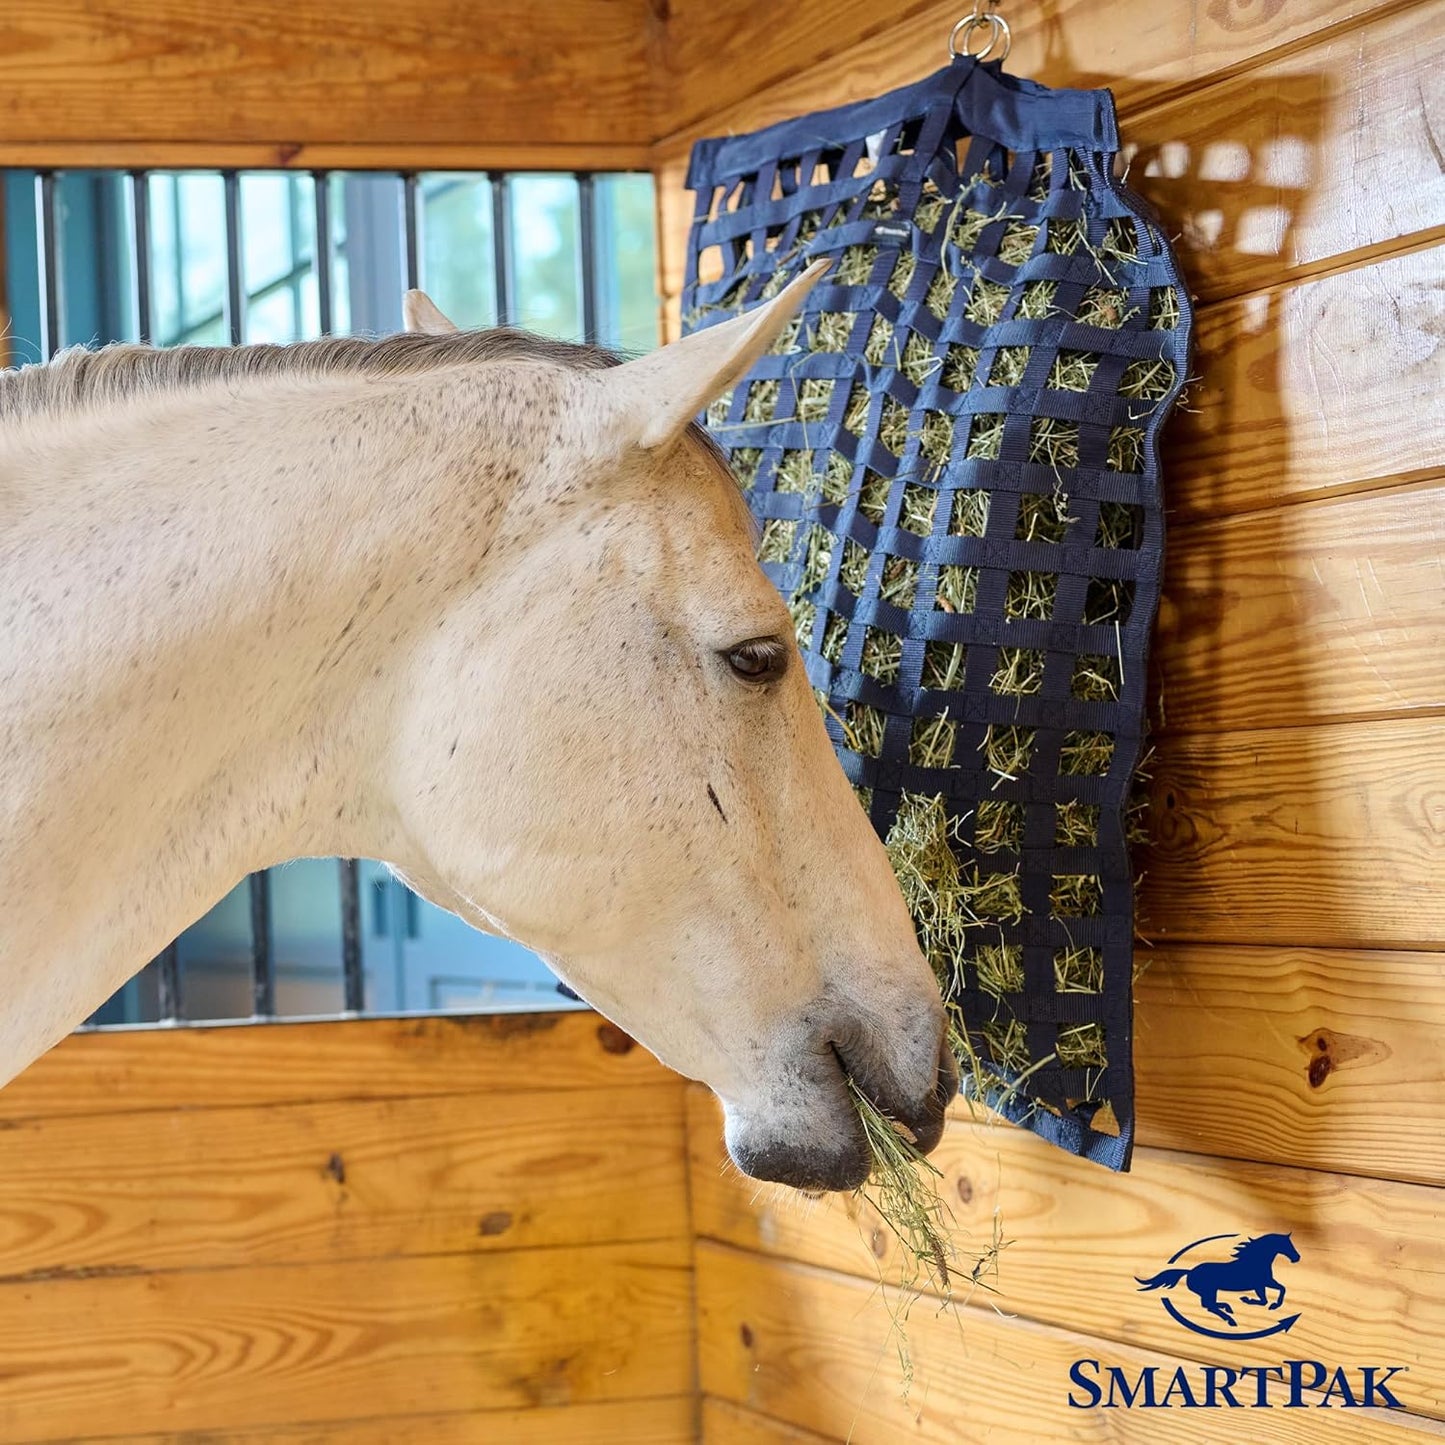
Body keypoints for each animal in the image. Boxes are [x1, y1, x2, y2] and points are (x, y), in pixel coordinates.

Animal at [1136, 1233, 1301, 1326]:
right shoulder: (1263, 1283)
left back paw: (1227, 1308)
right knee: (1209, 1306)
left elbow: (1268, 1297)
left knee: (1210, 1304)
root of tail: (1190, 1271)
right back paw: (1230, 1319)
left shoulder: (1261, 1285)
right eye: (1287, 1244)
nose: (1297, 1257)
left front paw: (1252, 1300)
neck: (1255, 1261)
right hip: (1210, 1290)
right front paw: (1269, 1304)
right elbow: (1275, 1293)